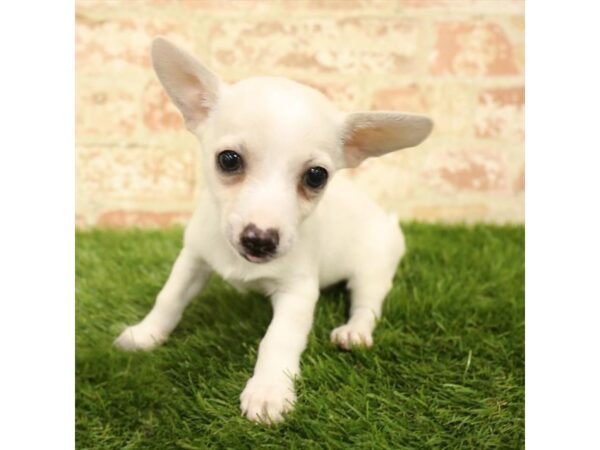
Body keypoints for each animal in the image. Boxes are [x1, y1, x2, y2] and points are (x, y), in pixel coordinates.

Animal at [113, 37, 432, 424]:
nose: (260, 240)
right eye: (228, 160)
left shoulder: (298, 293)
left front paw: (268, 391)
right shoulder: (193, 260)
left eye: (316, 177)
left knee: (367, 305)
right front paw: (146, 334)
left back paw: (353, 333)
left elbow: (278, 340)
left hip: (373, 271)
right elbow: (169, 298)